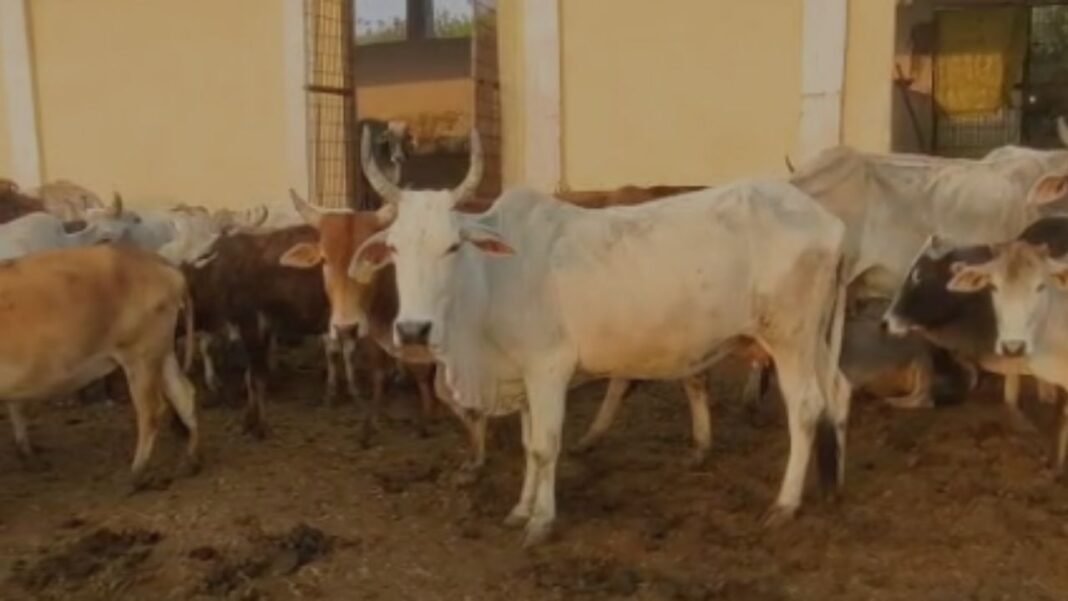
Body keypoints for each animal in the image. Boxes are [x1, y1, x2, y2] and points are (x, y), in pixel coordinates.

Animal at [0, 244, 199, 485]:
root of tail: (158, 261)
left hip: (140, 356)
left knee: (151, 411)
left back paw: (135, 474)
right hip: (161, 352)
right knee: (184, 394)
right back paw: (189, 462)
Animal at [351, 130, 850, 546]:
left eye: (452, 246)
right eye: (393, 247)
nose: (413, 329)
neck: (493, 279)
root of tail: (829, 222)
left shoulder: (548, 368)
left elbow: (544, 446)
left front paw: (540, 522)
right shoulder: (524, 377)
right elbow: (529, 446)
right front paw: (520, 509)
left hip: (788, 337)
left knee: (806, 407)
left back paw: (785, 504)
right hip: (814, 338)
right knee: (838, 391)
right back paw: (833, 482)